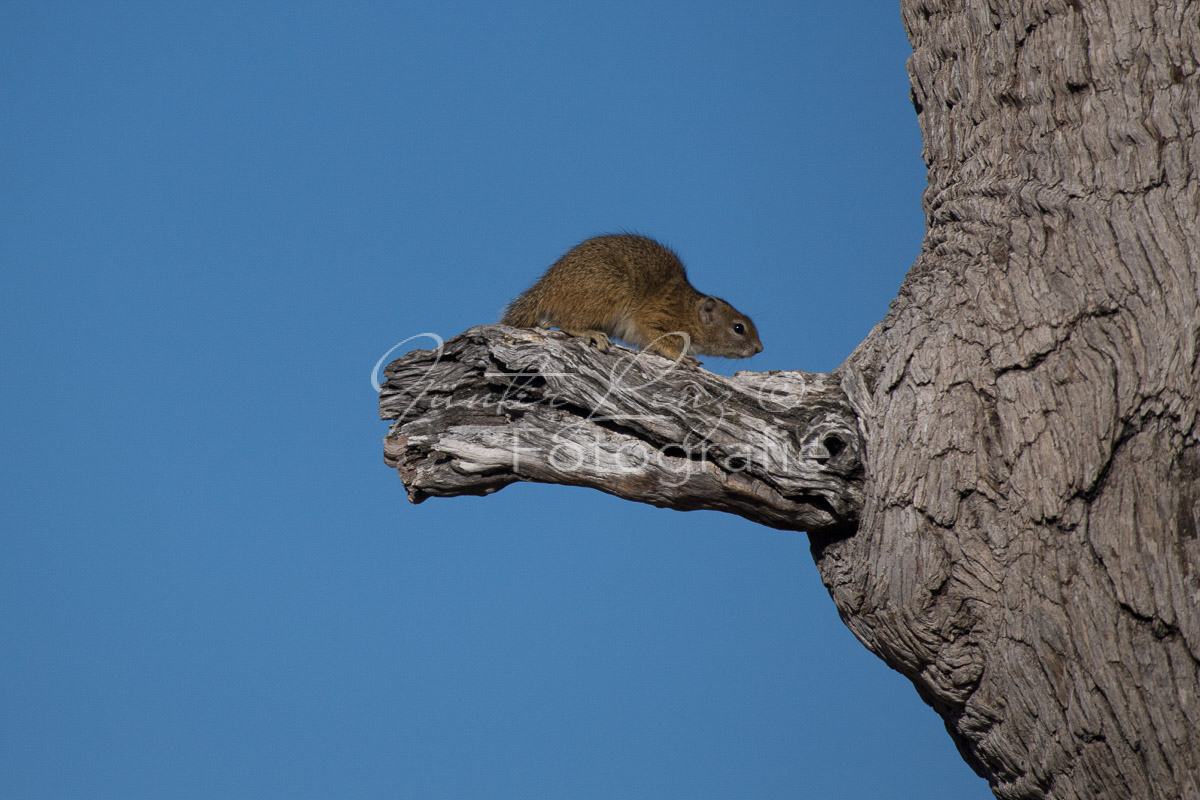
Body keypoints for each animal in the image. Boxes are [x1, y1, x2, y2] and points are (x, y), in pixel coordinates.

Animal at [501, 235, 763, 362]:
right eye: (738, 328)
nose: (760, 348)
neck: (687, 310)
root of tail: (547, 287)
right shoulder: (655, 318)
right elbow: (658, 340)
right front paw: (682, 358)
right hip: (608, 290)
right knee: (568, 323)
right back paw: (591, 333)